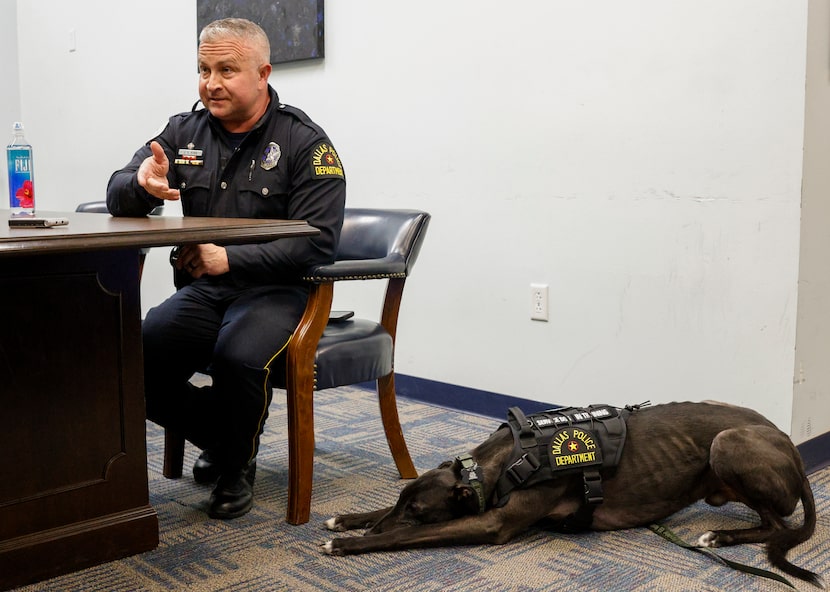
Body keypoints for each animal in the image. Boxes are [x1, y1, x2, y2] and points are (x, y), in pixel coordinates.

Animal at [322, 400, 824, 588]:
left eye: (419, 512)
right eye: (404, 502)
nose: (367, 532)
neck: (501, 463)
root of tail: (791, 447)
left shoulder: (493, 523)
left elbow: (402, 538)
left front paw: (347, 543)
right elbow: (376, 510)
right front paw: (346, 519)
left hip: (727, 443)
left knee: (775, 524)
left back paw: (720, 537)